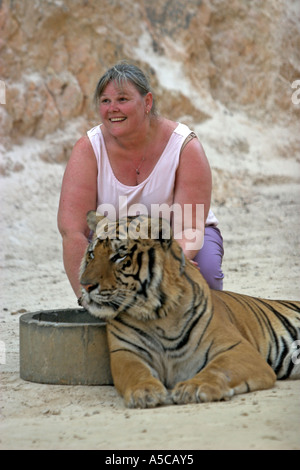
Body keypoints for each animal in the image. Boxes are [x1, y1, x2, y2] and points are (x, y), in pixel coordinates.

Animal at [78, 210, 298, 408]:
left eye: (119, 256)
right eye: (91, 254)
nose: (85, 285)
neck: (156, 316)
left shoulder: (238, 348)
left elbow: (218, 369)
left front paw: (193, 387)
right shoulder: (125, 352)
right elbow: (135, 373)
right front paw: (145, 391)